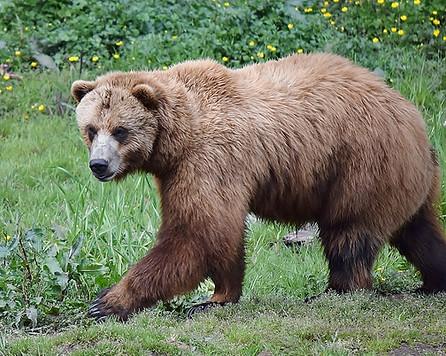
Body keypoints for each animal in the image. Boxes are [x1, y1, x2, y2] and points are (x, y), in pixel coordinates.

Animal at [70, 53, 446, 322]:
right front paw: (218, 295)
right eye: (91, 128)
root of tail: (413, 116)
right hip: (405, 178)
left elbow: (198, 232)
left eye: (120, 130)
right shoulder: (179, 172)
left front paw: (107, 301)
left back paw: (336, 289)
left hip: (360, 164)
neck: (177, 138)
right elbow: (217, 239)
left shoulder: (210, 160)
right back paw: (432, 280)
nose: (98, 165)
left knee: (349, 232)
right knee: (418, 230)